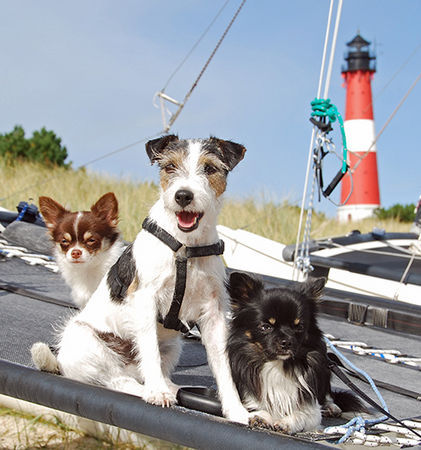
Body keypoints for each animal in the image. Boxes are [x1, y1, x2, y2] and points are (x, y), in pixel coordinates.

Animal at [55, 135, 251, 424]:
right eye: (169, 167)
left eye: (209, 168)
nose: (183, 195)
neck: (185, 247)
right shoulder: (146, 299)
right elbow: (148, 347)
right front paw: (157, 392)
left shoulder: (214, 314)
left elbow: (223, 365)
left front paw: (235, 409)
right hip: (83, 339)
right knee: (118, 381)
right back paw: (153, 389)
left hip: (173, 346)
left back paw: (170, 386)